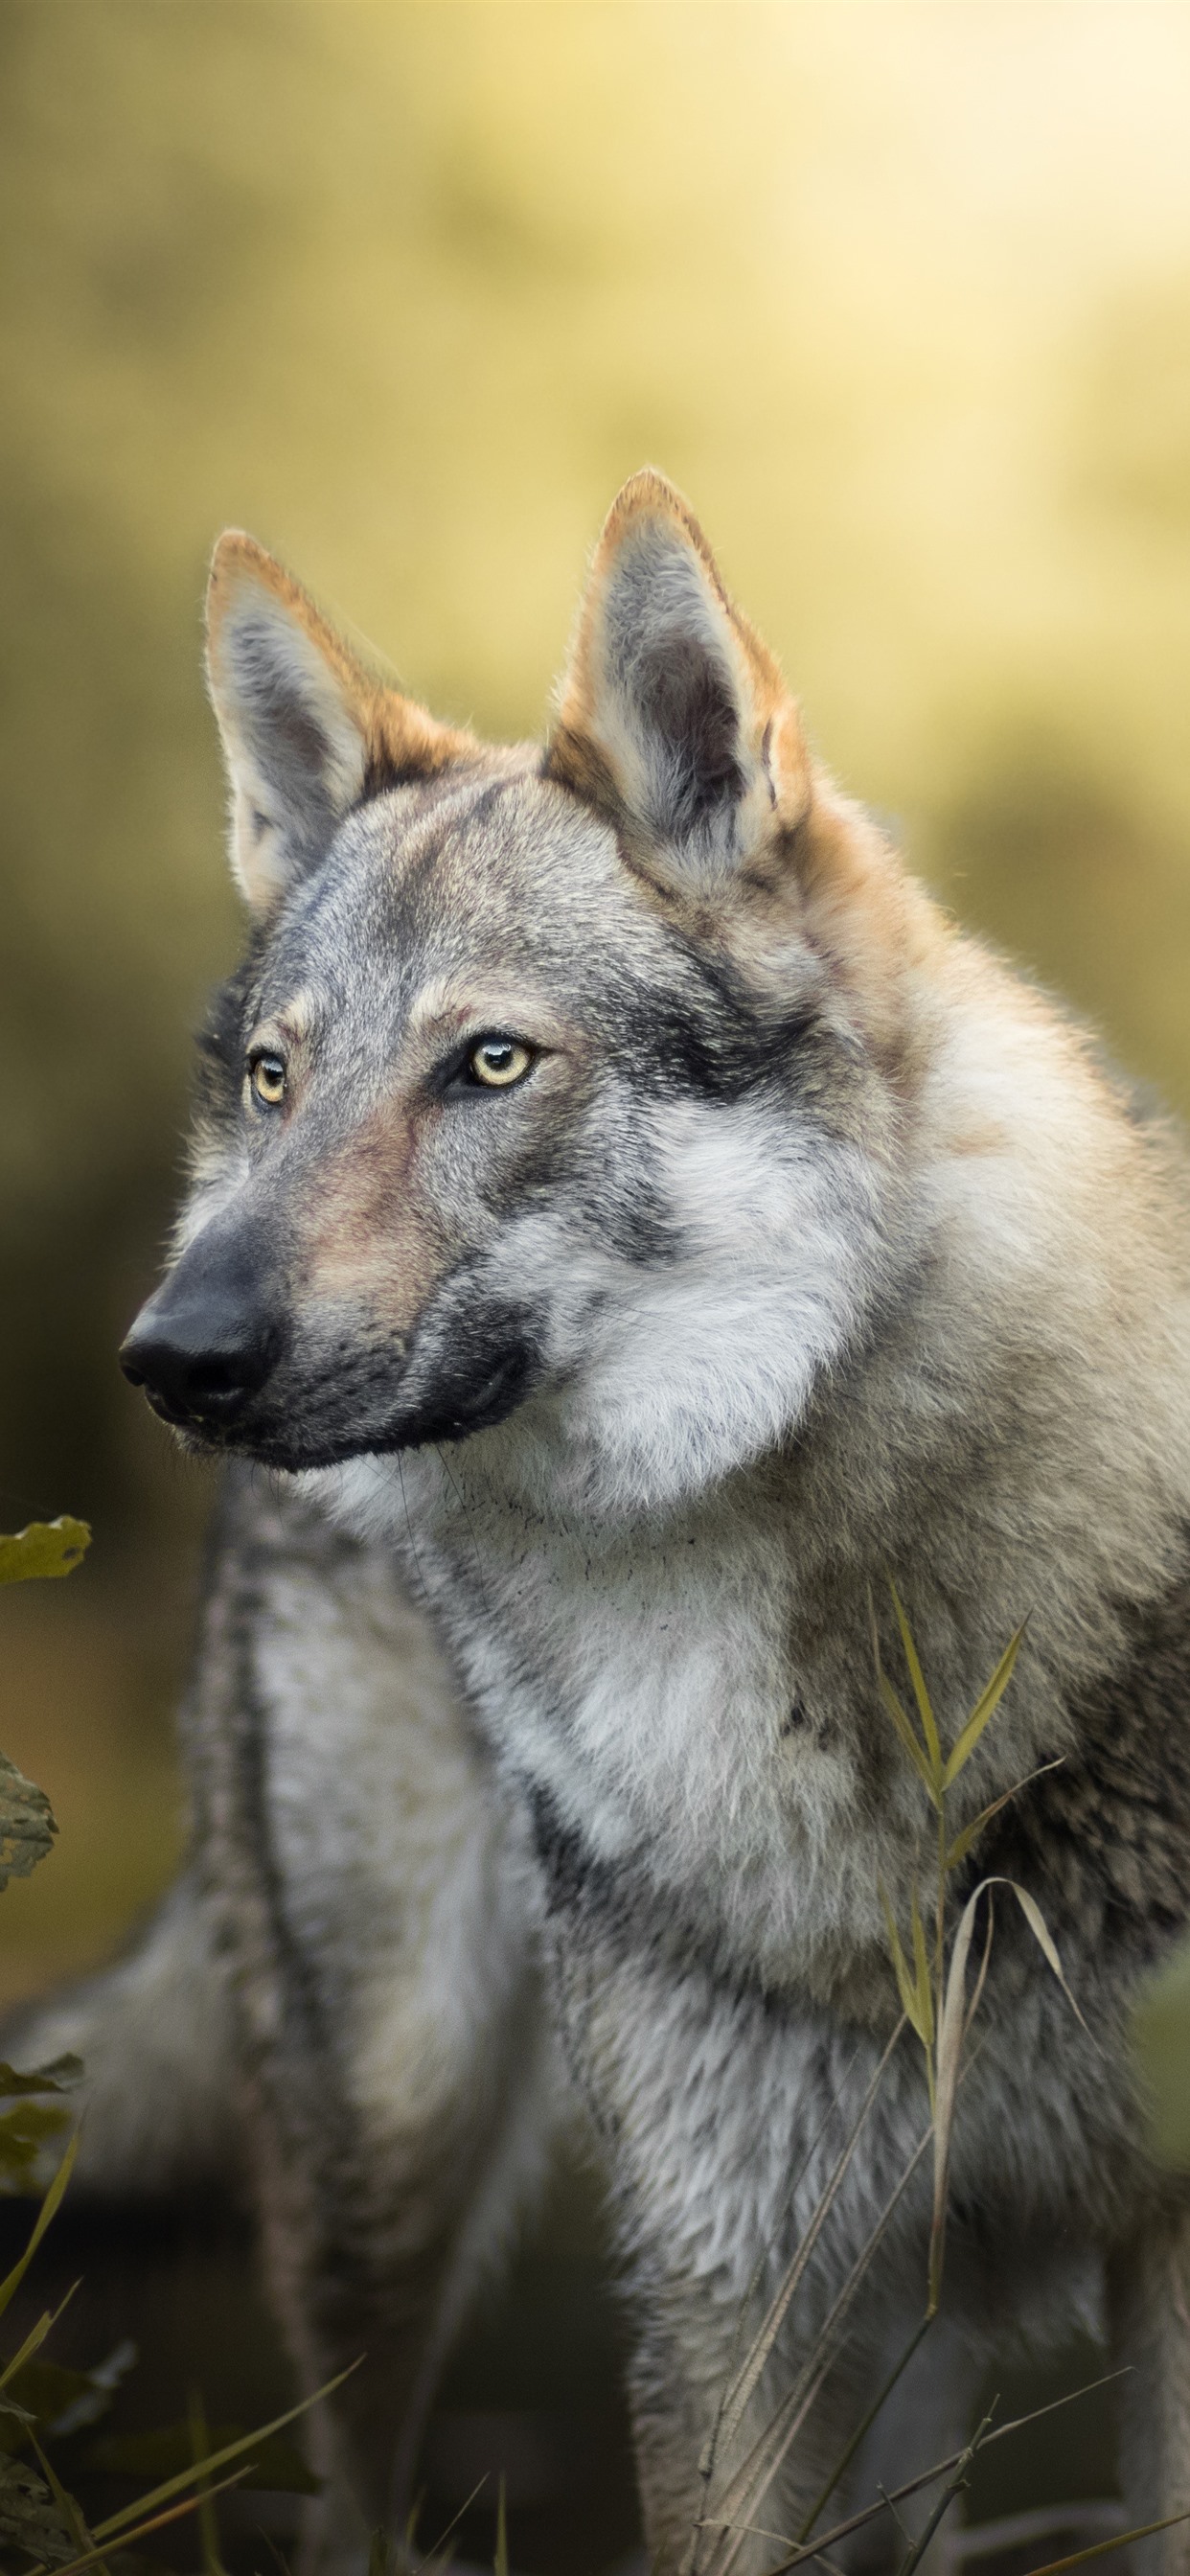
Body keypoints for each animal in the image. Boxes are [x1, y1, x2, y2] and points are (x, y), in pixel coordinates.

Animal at [17, 471, 1190, 2576]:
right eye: (277, 1076)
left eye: (491, 1062)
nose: (174, 1355)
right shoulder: (721, 2290)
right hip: (393, 2152)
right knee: (351, 2505)